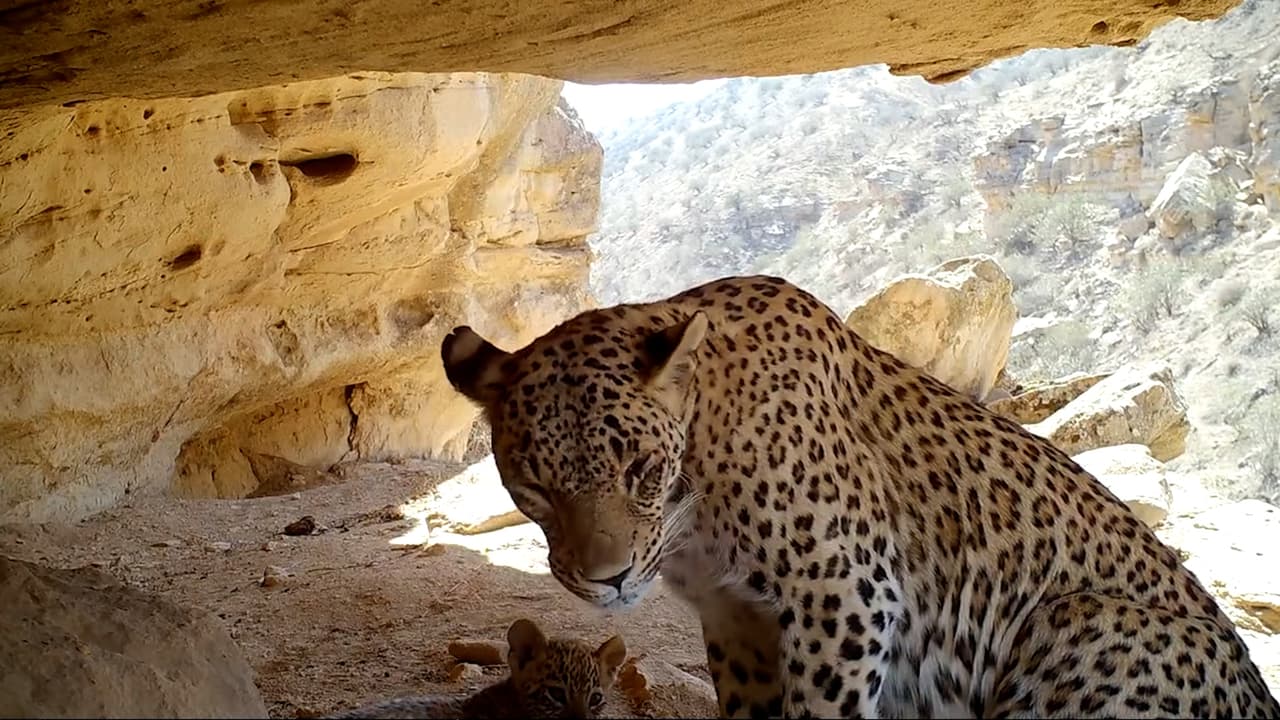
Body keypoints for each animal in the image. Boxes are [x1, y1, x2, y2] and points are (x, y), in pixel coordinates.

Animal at [440, 274, 1280, 719]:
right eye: (533, 486)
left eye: (642, 469)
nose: (606, 581)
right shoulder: (737, 619)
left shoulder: (842, 592)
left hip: (1080, 624)